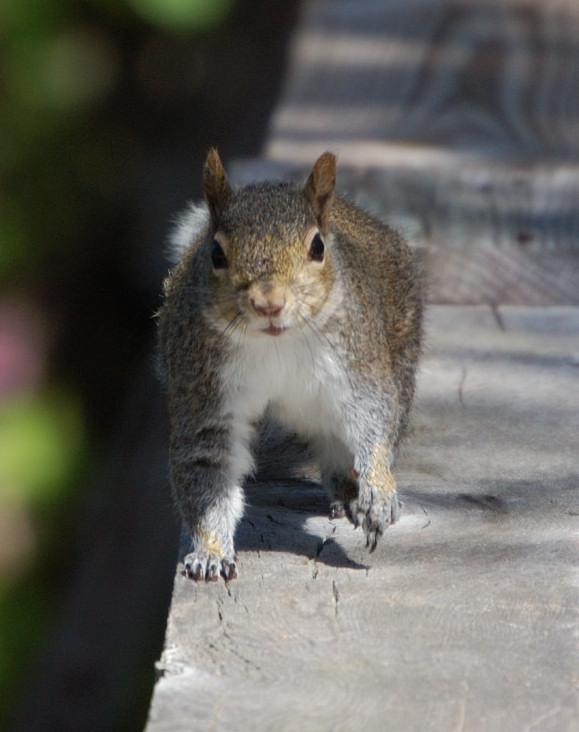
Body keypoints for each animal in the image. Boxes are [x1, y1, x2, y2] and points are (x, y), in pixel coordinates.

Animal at [156, 150, 424, 584]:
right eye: (216, 254)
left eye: (317, 247)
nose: (269, 303)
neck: (275, 341)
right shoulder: (203, 386)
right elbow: (207, 467)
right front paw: (211, 550)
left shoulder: (358, 365)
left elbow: (375, 424)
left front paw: (378, 492)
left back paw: (350, 493)